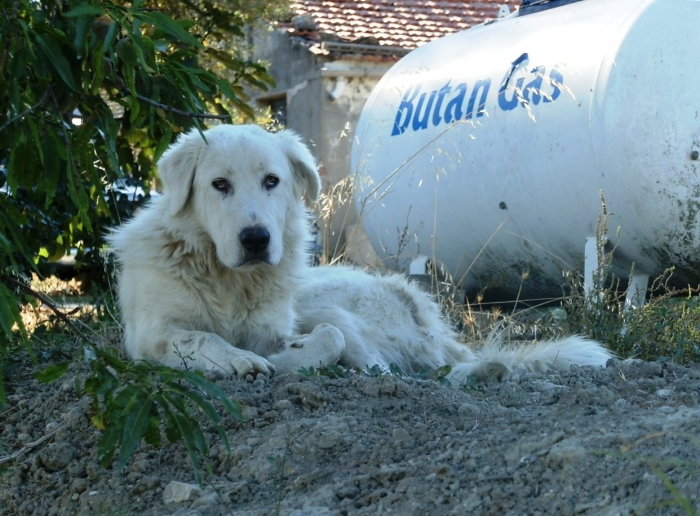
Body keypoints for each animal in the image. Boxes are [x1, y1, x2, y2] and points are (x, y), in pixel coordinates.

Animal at [106, 124, 608, 382]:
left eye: (272, 180)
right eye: (219, 185)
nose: (256, 239)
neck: (229, 280)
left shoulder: (279, 328)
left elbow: (325, 341)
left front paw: (282, 360)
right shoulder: (152, 334)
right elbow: (203, 338)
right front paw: (239, 360)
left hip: (328, 303)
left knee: (396, 364)